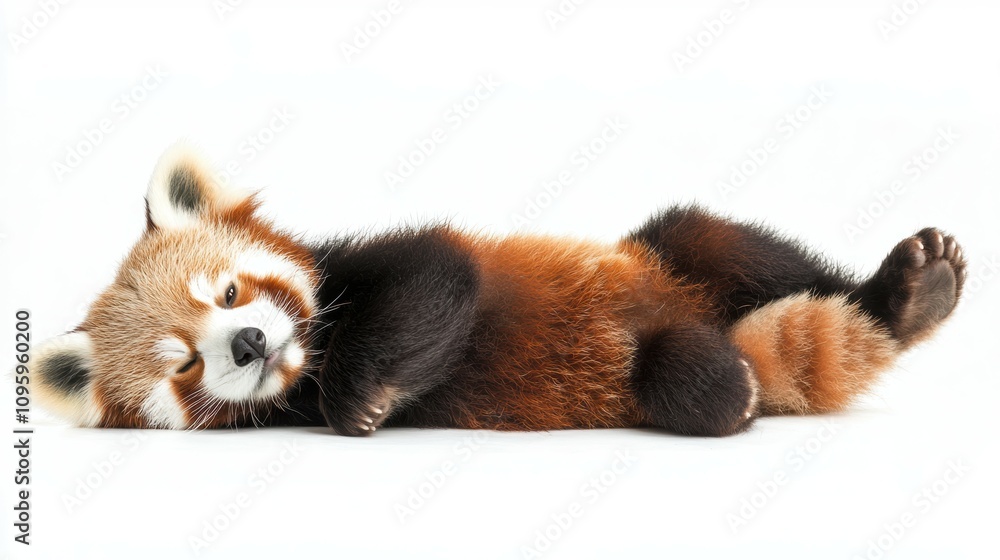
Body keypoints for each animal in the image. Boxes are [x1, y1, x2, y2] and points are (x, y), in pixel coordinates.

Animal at [27, 143, 966, 437]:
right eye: (184, 366)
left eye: (228, 295)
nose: (254, 343)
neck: (308, 359)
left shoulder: (380, 262)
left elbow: (441, 273)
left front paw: (360, 392)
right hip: (670, 363)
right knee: (688, 379)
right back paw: (717, 383)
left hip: (676, 256)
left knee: (726, 242)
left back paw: (908, 295)